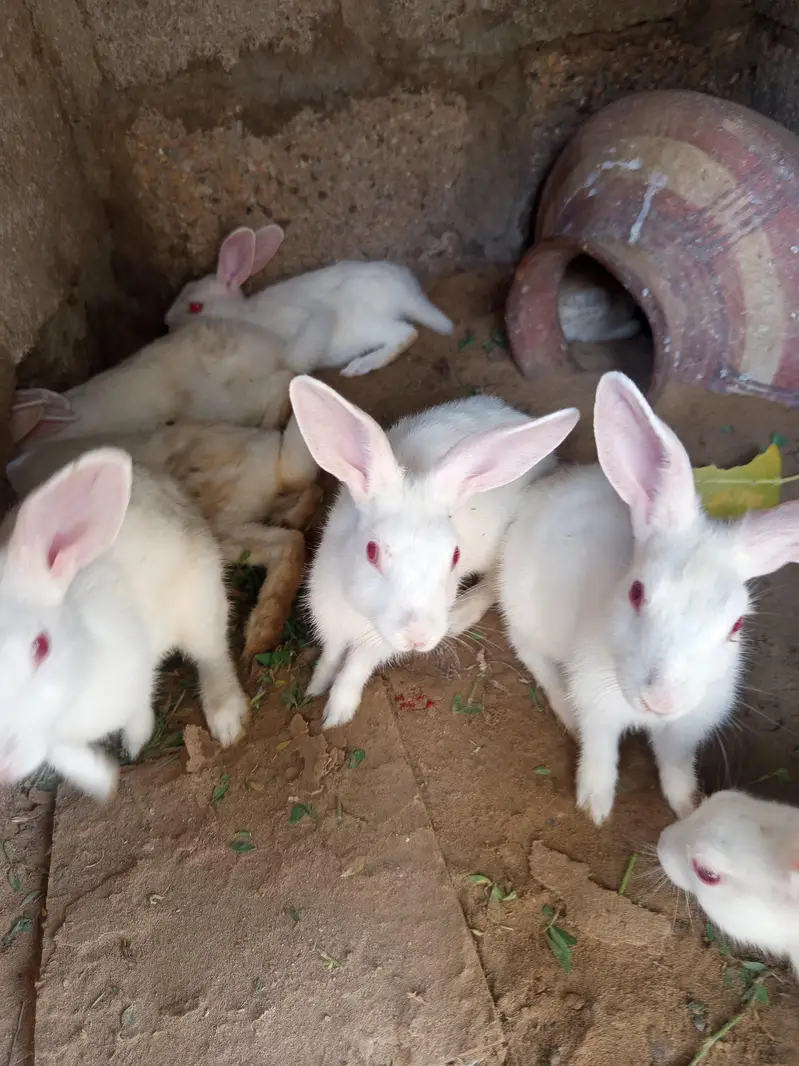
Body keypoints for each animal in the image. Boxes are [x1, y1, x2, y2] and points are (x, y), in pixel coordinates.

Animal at [0, 447, 249, 800]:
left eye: (41, 646)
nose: (4, 766)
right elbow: (64, 754)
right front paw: (101, 779)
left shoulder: (135, 664)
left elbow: (139, 701)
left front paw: (133, 743)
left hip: (201, 605)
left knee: (213, 656)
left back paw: (225, 717)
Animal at [164, 224, 454, 378]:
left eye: (195, 307)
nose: (165, 321)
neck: (244, 315)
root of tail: (408, 294)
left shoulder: (307, 319)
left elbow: (297, 355)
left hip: (367, 324)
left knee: (406, 334)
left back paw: (359, 366)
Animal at [289, 375, 580, 729]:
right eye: (371, 551)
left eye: (455, 556)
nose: (418, 637)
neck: (362, 614)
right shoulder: (329, 620)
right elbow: (330, 656)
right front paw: (315, 687)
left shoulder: (375, 646)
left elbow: (354, 669)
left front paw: (336, 714)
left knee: (494, 582)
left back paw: (461, 615)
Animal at [499, 370, 799, 826]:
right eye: (636, 593)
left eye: (737, 625)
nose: (661, 701)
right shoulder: (598, 706)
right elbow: (599, 752)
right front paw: (595, 806)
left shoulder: (685, 729)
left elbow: (675, 765)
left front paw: (688, 805)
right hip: (524, 611)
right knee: (531, 655)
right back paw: (564, 709)